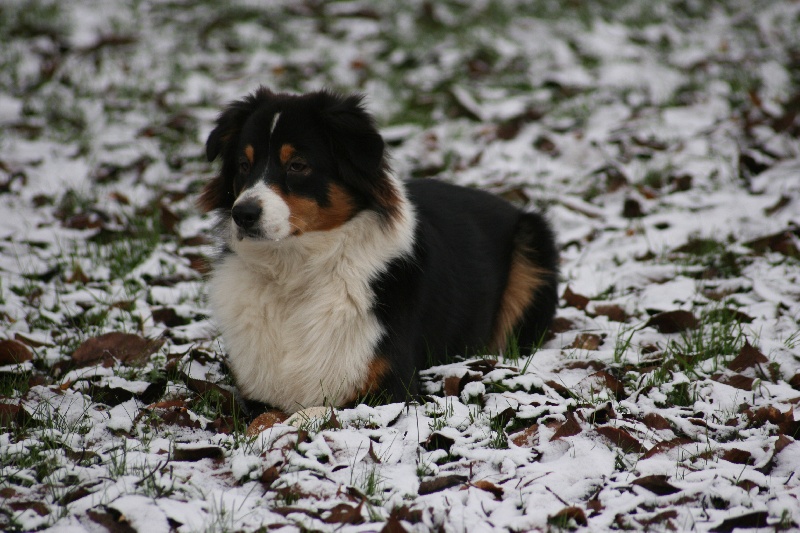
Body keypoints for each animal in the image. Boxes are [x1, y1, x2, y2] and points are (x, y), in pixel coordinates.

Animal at [200, 87, 556, 414]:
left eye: (298, 165)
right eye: (243, 165)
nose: (243, 214)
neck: (294, 272)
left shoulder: (388, 386)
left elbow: (308, 413)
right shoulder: (257, 391)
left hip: (533, 244)